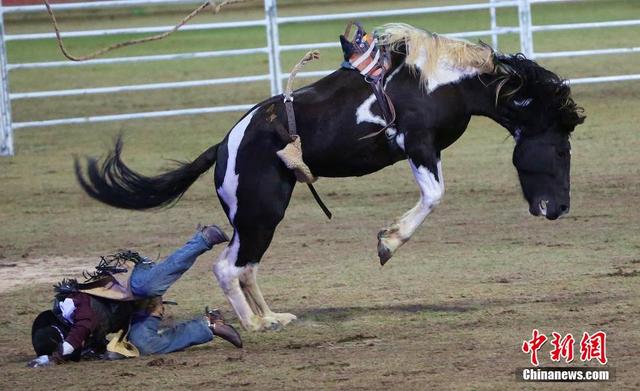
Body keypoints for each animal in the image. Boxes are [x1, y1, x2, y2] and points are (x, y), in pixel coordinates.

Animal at [75, 23, 584, 330]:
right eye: (561, 149)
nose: (559, 208)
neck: (439, 81)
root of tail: (224, 145)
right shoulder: (418, 144)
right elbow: (434, 195)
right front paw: (387, 243)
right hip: (260, 212)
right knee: (228, 267)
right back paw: (255, 327)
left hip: (258, 217)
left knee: (246, 266)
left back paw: (273, 317)